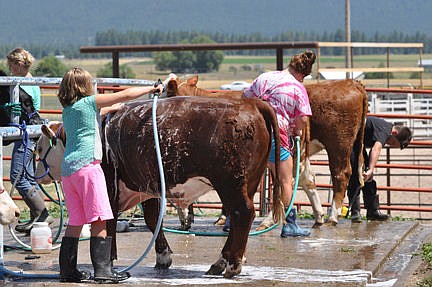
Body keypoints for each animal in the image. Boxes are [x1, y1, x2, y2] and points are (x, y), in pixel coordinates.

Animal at [35, 97, 286, 280]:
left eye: (38, 148)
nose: (38, 174)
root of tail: (250, 103)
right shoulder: (147, 186)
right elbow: (153, 219)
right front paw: (163, 257)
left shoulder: (109, 184)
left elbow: (111, 220)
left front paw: (111, 259)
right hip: (247, 182)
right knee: (238, 219)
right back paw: (221, 263)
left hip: (230, 183)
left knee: (243, 213)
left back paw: (232, 265)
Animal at [165, 75, 368, 228]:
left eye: (165, 91)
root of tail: (351, 83)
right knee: (309, 179)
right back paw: (320, 217)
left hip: (338, 144)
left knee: (340, 174)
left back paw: (331, 216)